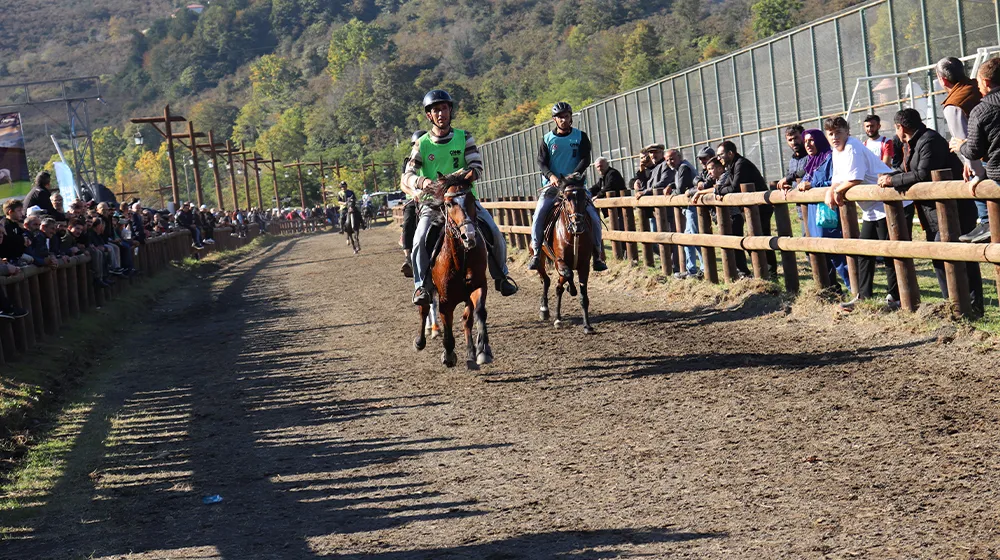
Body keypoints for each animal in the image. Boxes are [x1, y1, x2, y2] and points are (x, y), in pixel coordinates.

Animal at [412, 173, 494, 370]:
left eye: (471, 199)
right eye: (449, 204)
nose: (469, 235)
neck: (459, 259)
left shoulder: (478, 286)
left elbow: (480, 313)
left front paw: (483, 351)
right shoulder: (445, 300)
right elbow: (447, 325)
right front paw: (448, 355)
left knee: (467, 319)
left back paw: (472, 354)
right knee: (423, 309)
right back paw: (420, 341)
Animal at [532, 179, 592, 334]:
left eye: (584, 198)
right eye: (566, 198)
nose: (578, 224)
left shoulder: (584, 265)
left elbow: (583, 296)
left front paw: (587, 326)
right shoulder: (560, 261)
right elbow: (568, 274)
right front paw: (572, 289)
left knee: (556, 284)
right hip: (540, 260)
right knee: (547, 280)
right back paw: (546, 311)